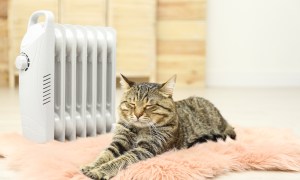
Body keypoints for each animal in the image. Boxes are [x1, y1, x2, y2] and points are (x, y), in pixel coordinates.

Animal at [81, 74, 236, 179]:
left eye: (149, 106)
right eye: (132, 104)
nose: (137, 114)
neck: (139, 129)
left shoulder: (146, 149)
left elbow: (120, 160)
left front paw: (99, 171)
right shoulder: (118, 142)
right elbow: (105, 155)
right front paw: (92, 166)